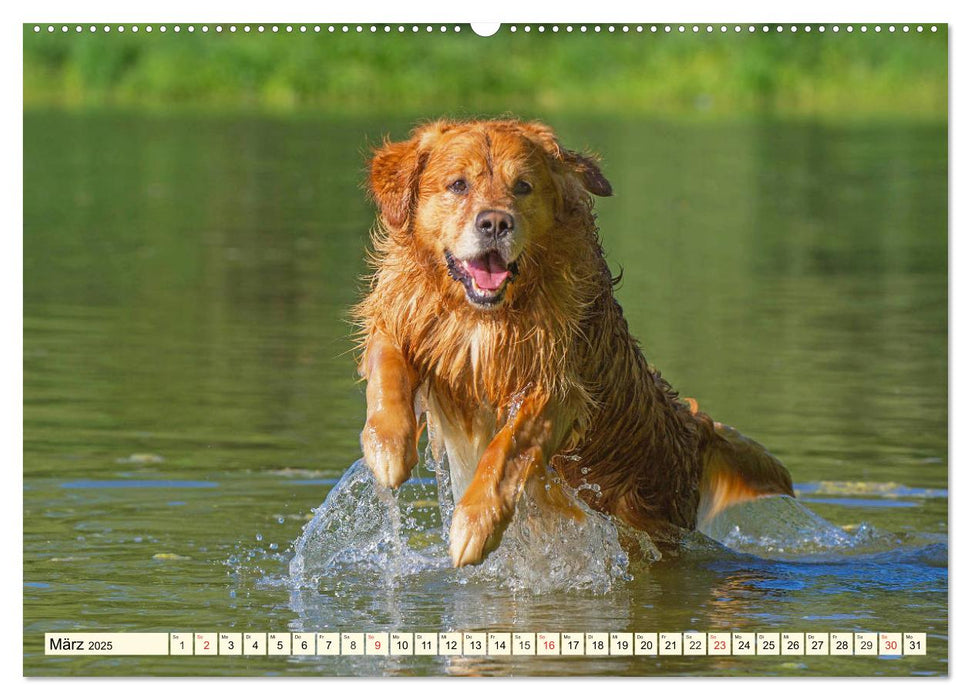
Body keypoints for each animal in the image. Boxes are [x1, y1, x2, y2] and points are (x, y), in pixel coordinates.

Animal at [354, 119, 792, 568]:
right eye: (458, 185)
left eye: (523, 187)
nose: (495, 223)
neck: (482, 317)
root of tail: (691, 428)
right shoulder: (409, 321)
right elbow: (388, 366)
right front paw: (387, 447)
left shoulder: (559, 389)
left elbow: (506, 449)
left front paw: (474, 524)